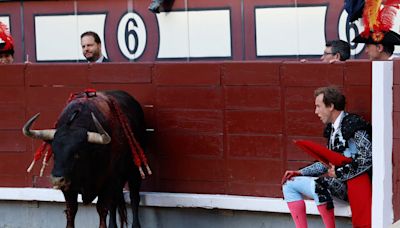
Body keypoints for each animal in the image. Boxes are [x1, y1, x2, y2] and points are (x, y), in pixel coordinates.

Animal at [22, 89, 150, 228]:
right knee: (114, 202)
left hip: (134, 172)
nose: (57, 180)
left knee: (134, 198)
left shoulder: (109, 182)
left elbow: (102, 209)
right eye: (54, 153)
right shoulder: (69, 188)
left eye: (77, 154)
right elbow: (71, 211)